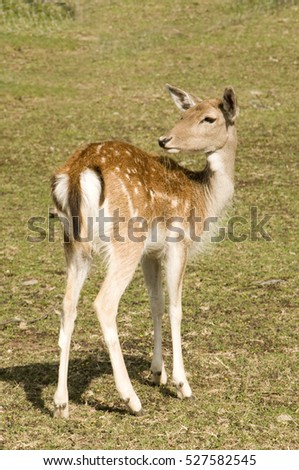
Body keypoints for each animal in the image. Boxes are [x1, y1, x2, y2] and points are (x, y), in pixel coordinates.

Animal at [51, 82, 239, 416]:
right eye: (185, 113)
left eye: (208, 118)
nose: (165, 139)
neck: (203, 197)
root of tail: (76, 173)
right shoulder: (179, 242)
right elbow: (175, 307)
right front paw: (181, 384)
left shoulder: (151, 252)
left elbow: (156, 303)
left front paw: (156, 372)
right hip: (125, 241)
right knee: (104, 303)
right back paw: (131, 399)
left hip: (74, 244)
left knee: (67, 305)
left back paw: (61, 403)